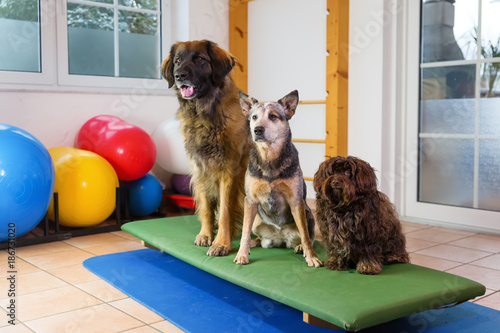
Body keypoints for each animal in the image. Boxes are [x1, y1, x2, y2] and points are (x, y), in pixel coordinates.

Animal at [162, 40, 252, 255]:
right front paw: (205, 234)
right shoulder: (200, 169)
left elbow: (226, 210)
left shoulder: (229, 171)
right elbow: (206, 207)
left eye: (200, 59)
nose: (179, 76)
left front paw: (221, 243)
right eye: (178, 61)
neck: (202, 115)